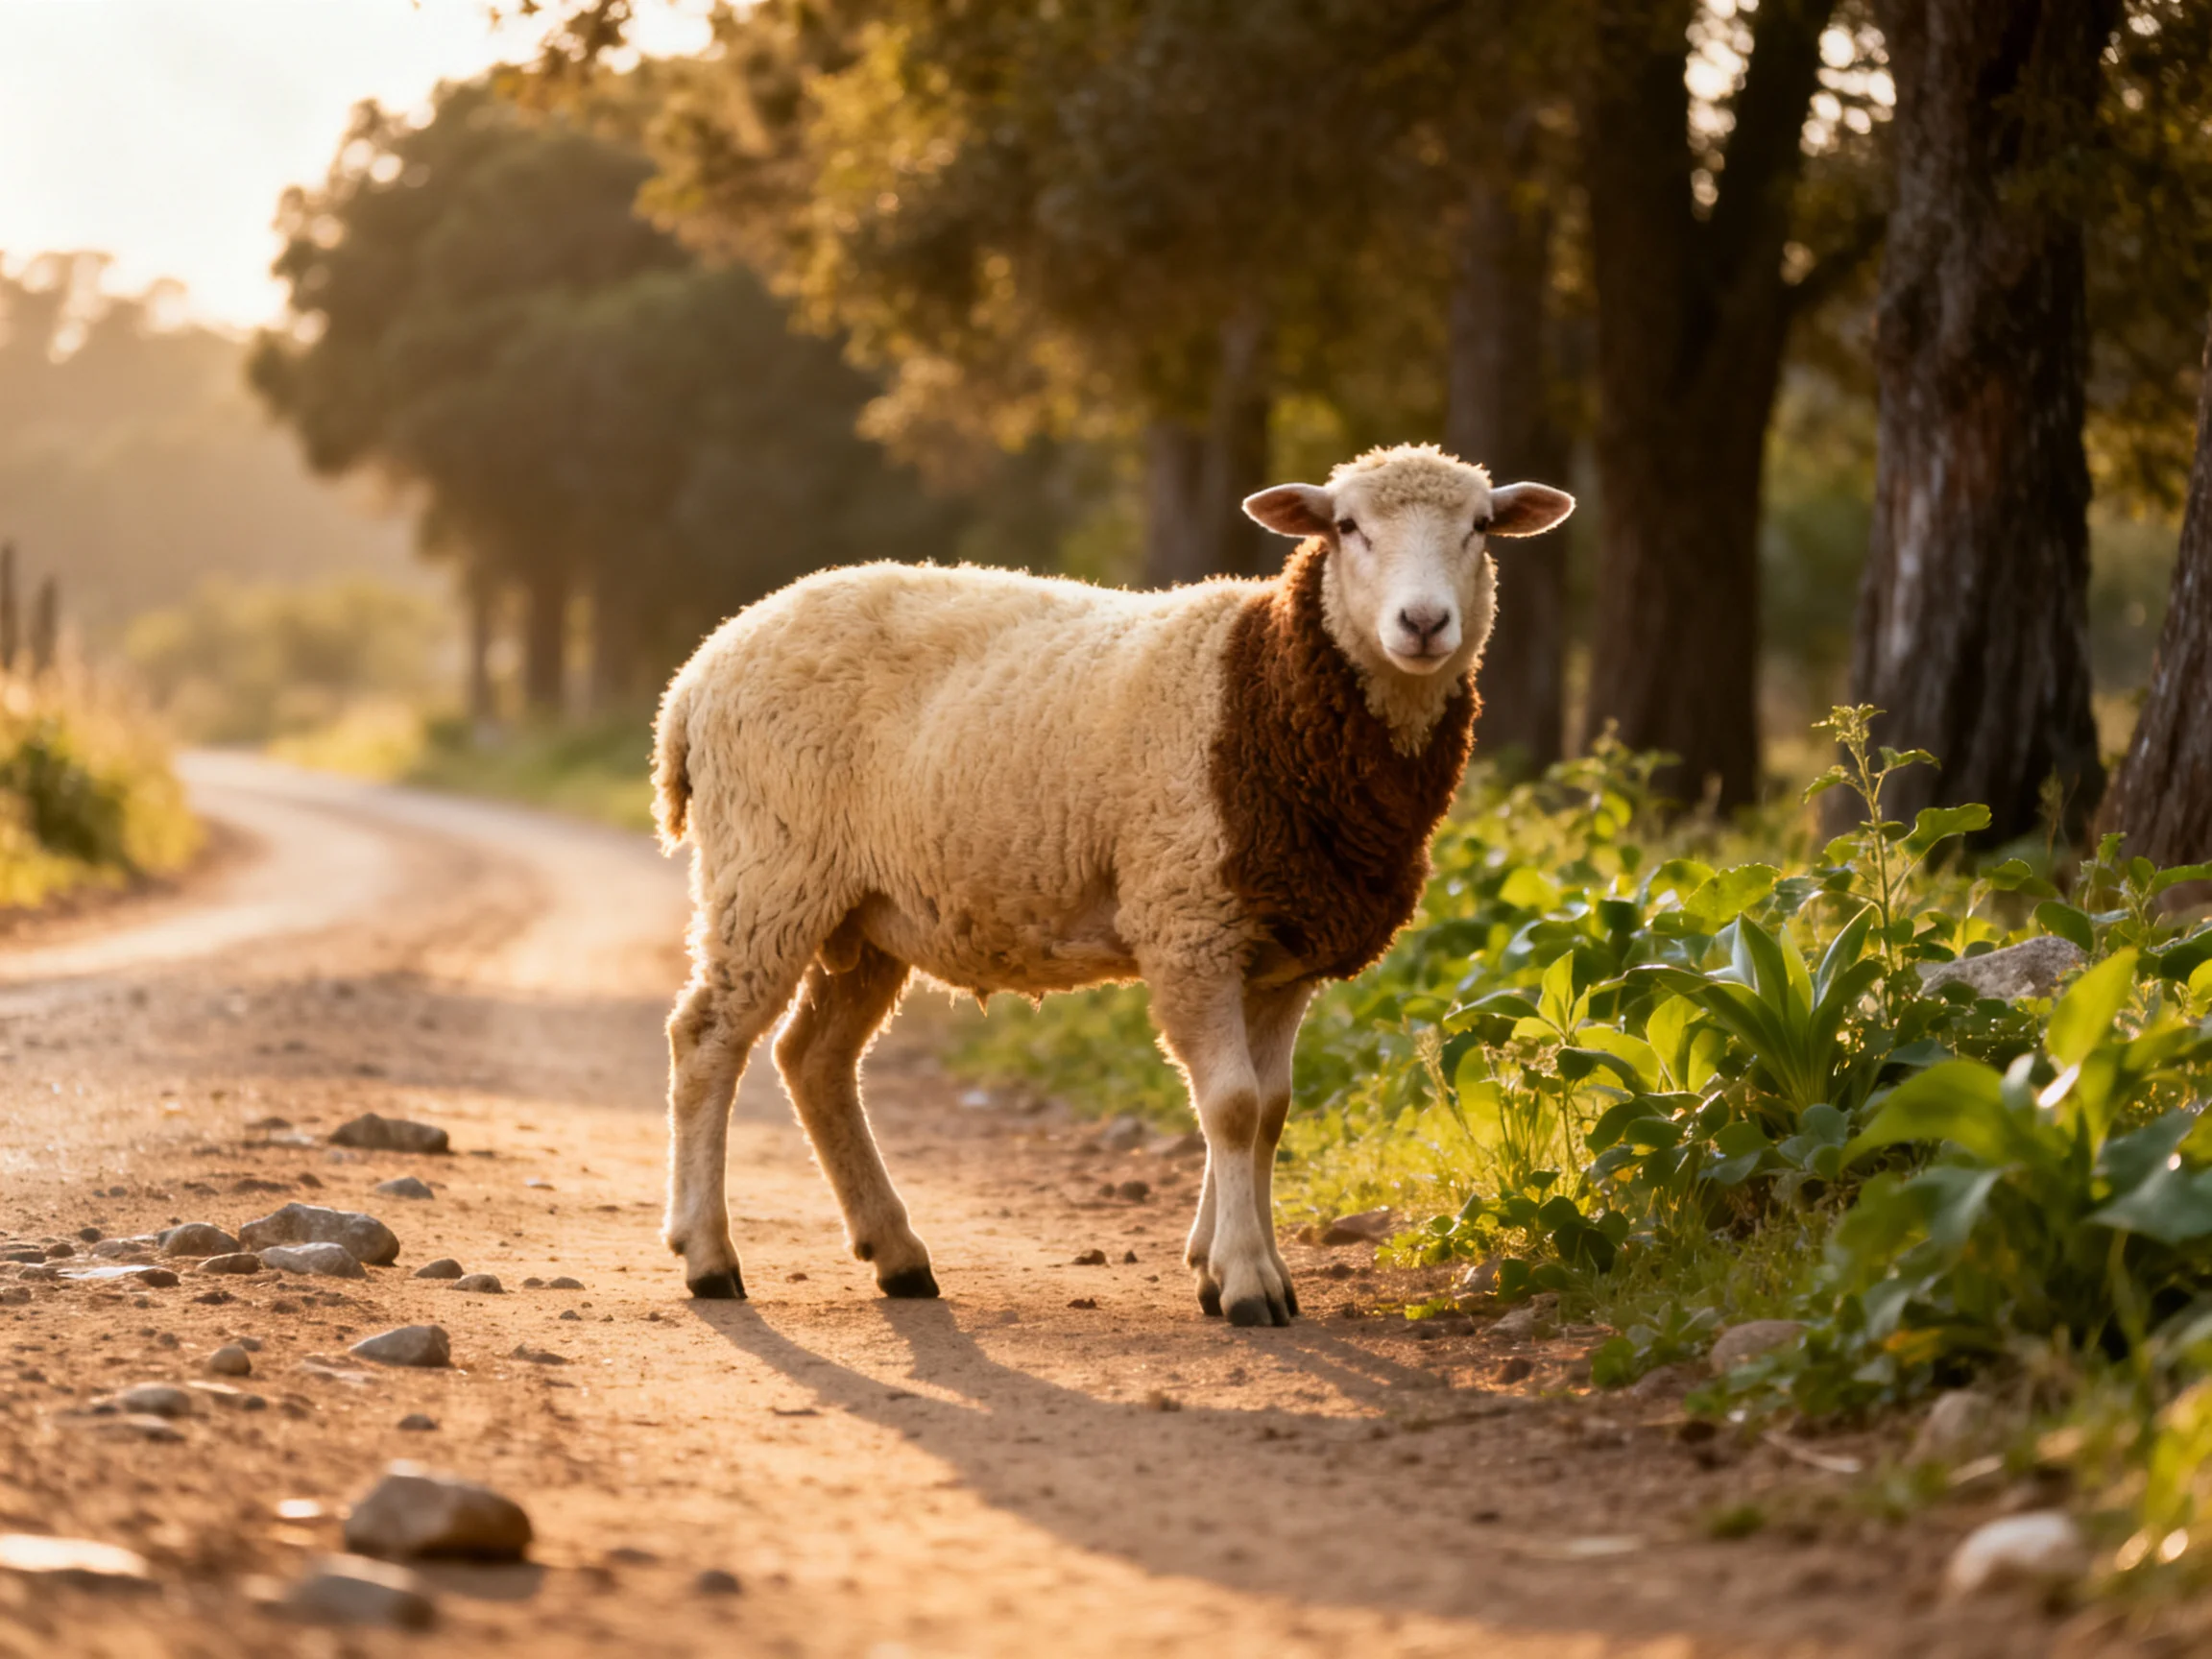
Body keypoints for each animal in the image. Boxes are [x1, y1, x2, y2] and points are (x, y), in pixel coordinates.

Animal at [653, 442, 1574, 1326]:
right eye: (1347, 527)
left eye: (1481, 528)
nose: (1423, 623)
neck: (1268, 689)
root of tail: (697, 673)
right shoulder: (1190, 920)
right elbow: (1231, 1105)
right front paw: (1247, 1284)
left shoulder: (1283, 948)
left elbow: (1269, 1111)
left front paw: (1226, 1265)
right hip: (769, 871)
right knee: (707, 1040)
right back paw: (709, 1258)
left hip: (868, 909)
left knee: (814, 1060)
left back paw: (899, 1256)